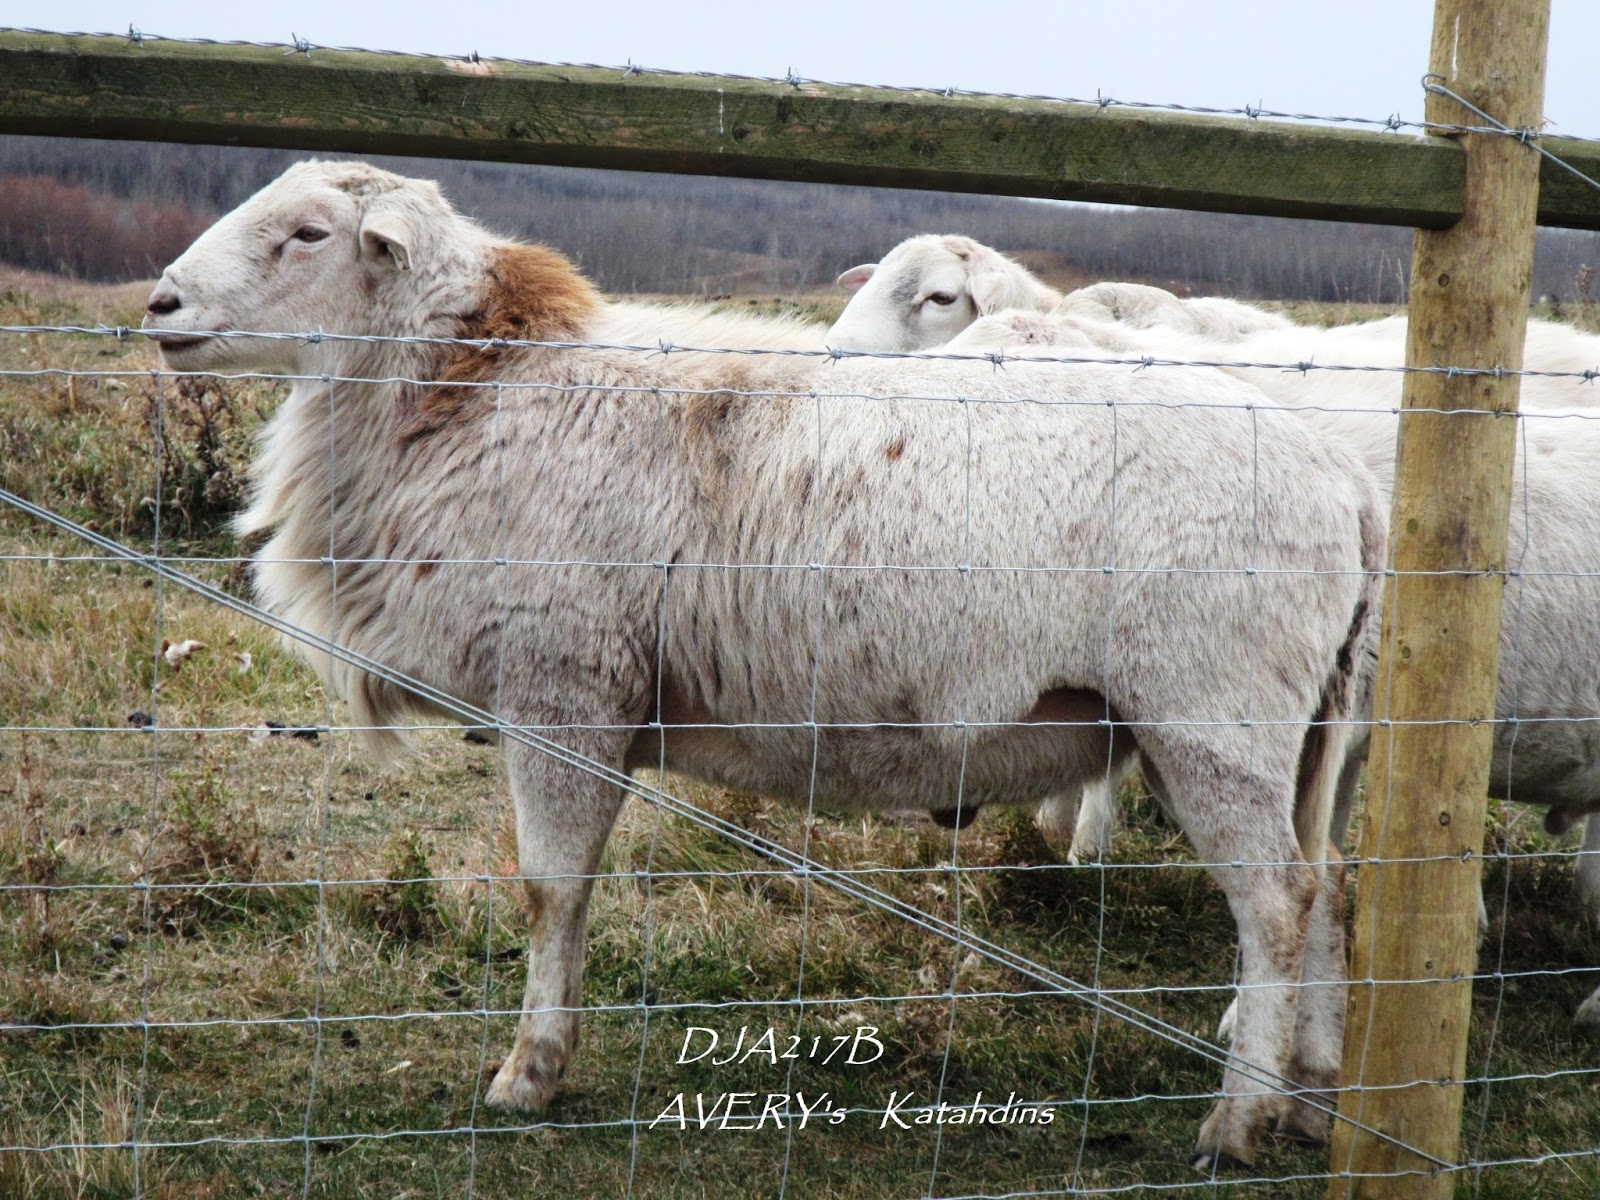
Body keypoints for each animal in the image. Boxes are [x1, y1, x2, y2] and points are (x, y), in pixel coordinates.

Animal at [143, 160, 1387, 1168]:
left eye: (309, 233)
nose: (159, 305)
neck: (473, 393)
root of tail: (1344, 482)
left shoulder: (564, 685)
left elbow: (552, 888)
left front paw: (529, 1073)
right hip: (1297, 730)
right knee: (1329, 885)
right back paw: (1312, 1101)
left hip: (1212, 717)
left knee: (1276, 903)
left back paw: (1235, 1123)